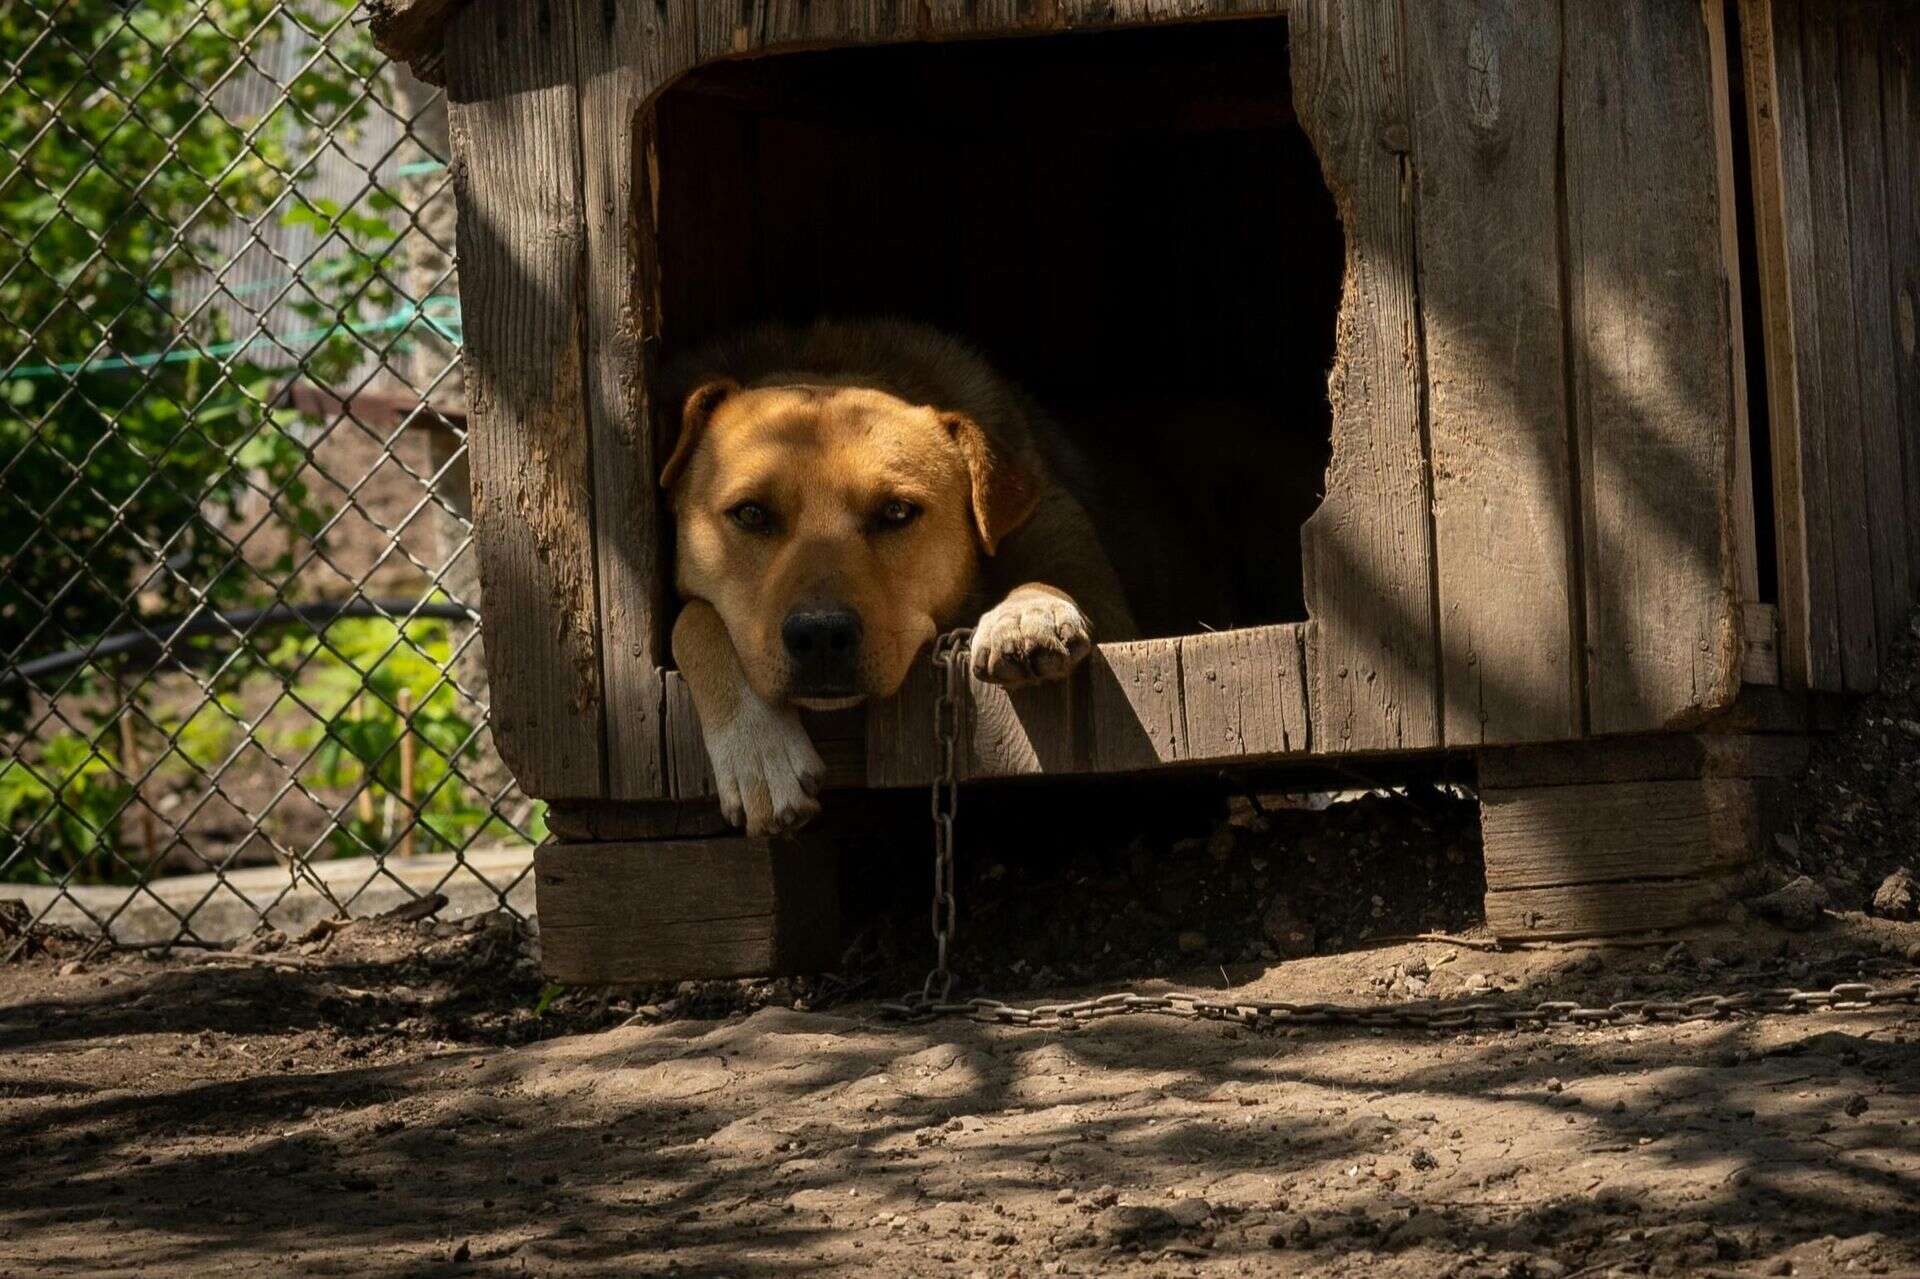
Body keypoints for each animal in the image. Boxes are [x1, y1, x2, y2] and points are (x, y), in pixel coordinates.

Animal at [660, 324, 1320, 833]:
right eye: (750, 514)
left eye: (897, 512)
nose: (821, 635)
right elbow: (692, 619)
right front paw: (757, 748)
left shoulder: (1097, 589)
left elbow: (1054, 581)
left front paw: (1024, 614)